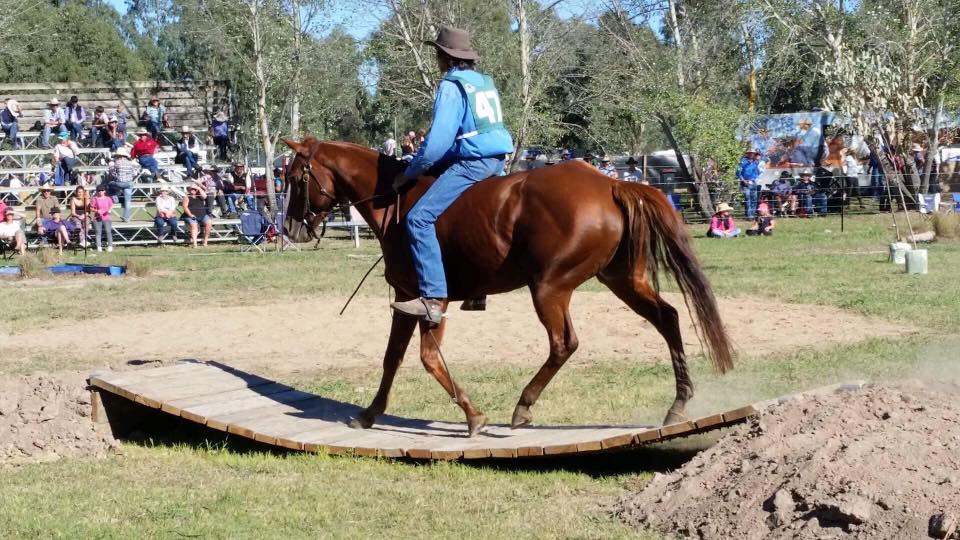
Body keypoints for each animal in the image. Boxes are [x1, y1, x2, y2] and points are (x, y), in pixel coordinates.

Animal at [282, 137, 734, 437]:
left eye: (295, 177)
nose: (289, 229)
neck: (396, 201)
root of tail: (610, 183)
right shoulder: (410, 301)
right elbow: (394, 359)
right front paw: (370, 413)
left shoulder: (425, 299)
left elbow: (427, 358)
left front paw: (473, 416)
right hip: (621, 279)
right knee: (668, 318)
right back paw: (678, 404)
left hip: (550, 287)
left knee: (564, 344)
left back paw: (523, 405)